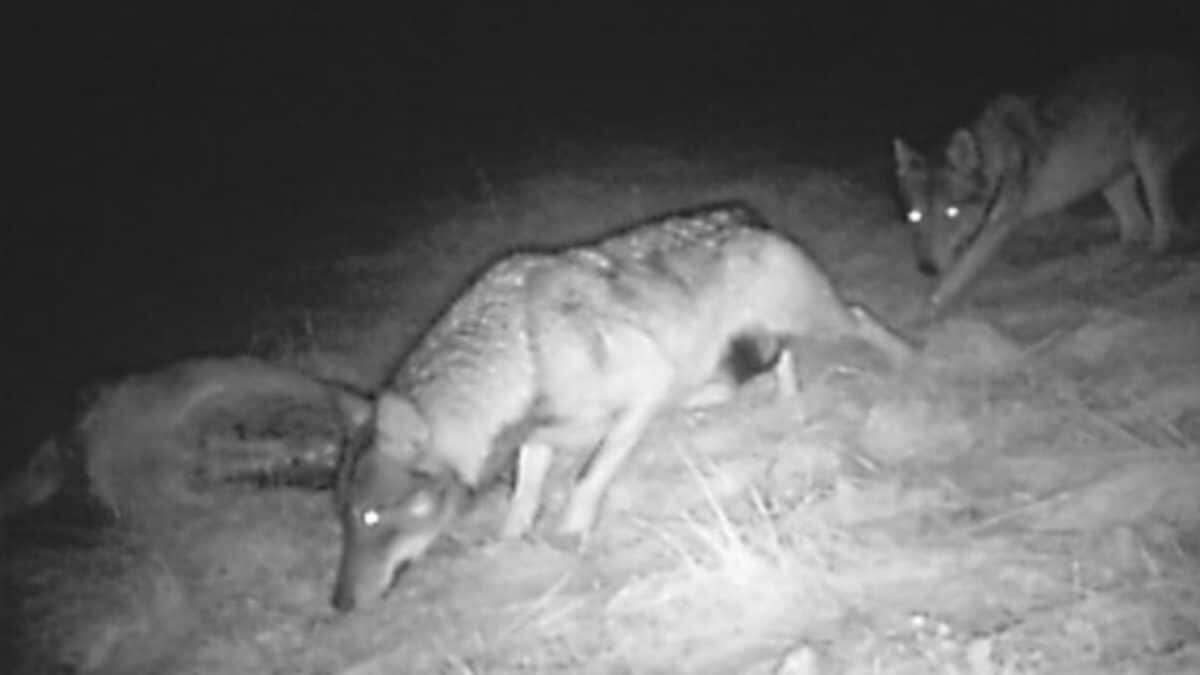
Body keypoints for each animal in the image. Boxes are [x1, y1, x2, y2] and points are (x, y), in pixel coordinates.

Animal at [328, 199, 907, 610]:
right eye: (346, 519)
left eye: (373, 516)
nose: (338, 605)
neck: (524, 352)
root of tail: (747, 215)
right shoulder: (539, 439)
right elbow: (522, 500)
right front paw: (510, 545)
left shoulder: (645, 392)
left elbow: (590, 477)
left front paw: (572, 529)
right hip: (733, 356)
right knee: (777, 362)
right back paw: (786, 407)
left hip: (812, 323)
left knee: (859, 318)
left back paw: (912, 357)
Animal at [897, 50, 1195, 312]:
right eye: (914, 216)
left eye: (951, 212)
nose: (925, 268)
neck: (996, 159)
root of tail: (1177, 62)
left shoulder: (999, 227)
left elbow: (958, 272)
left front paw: (928, 308)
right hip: (1109, 182)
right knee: (1137, 226)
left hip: (1147, 164)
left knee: (1161, 226)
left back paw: (1153, 254)